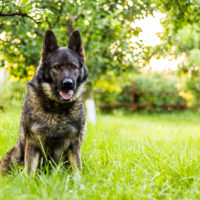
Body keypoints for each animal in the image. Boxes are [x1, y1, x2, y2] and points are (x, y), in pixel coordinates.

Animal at [0, 29, 87, 175]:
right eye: (57, 67)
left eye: (73, 67)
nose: (68, 84)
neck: (57, 108)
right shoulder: (33, 142)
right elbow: (29, 171)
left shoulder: (74, 143)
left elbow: (77, 169)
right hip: (17, 152)